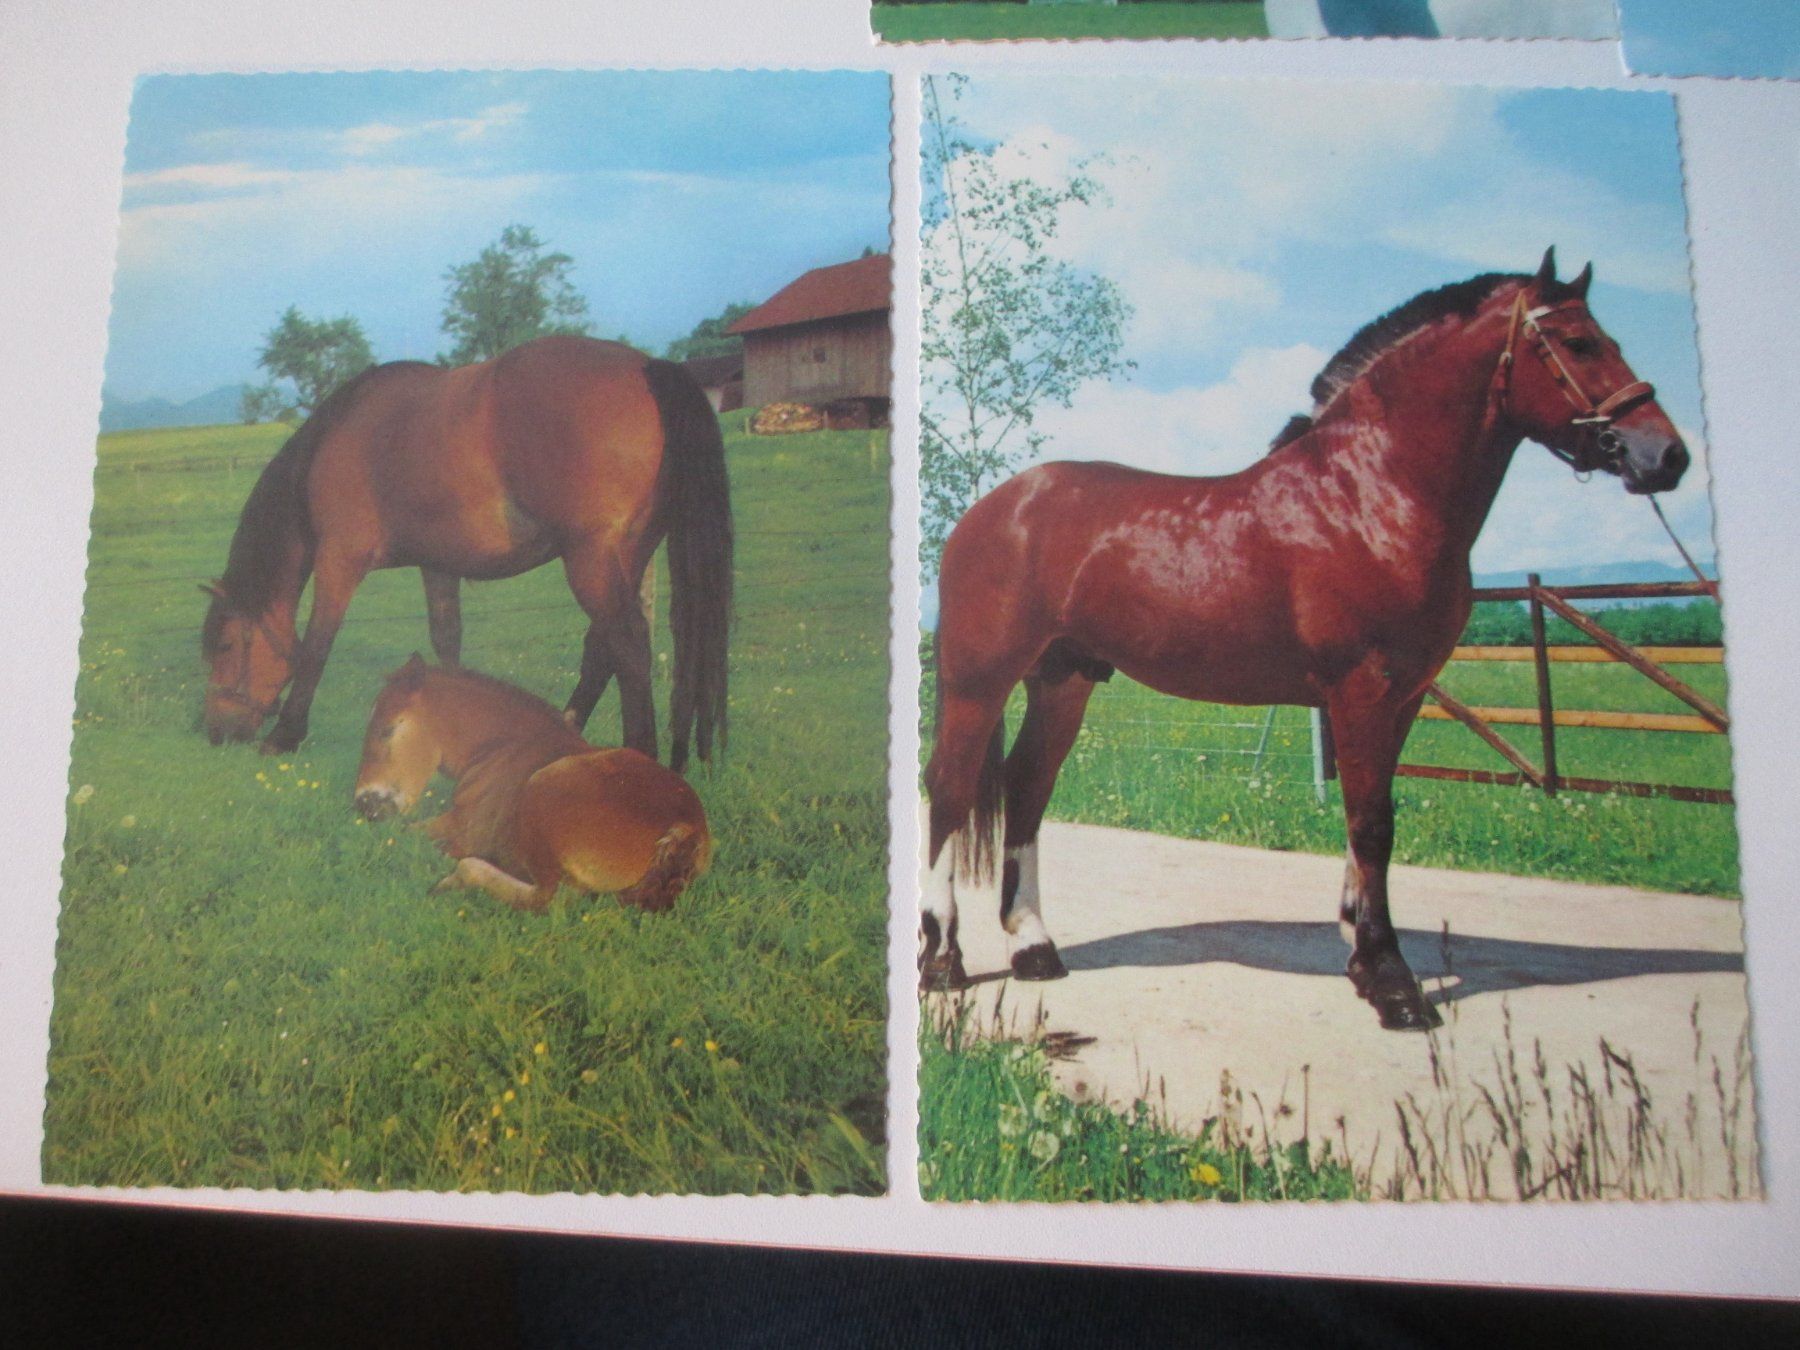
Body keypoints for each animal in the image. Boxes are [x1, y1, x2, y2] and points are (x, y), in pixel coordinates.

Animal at [200, 335, 732, 772]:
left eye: (223, 645)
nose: (214, 732)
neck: (340, 434)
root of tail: (648, 366)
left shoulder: (339, 561)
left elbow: (316, 645)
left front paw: (284, 735)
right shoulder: (437, 566)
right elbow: (447, 639)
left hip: (591, 560)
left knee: (628, 644)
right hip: (626, 556)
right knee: (602, 648)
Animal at [353, 655, 712, 913]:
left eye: (387, 730)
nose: (364, 804)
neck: (503, 746)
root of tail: (686, 827)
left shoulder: (463, 828)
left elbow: (403, 835)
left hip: (541, 796)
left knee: (547, 898)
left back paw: (456, 878)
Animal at [921, 249, 1689, 1031]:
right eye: (1577, 343)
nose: (1666, 455)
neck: (1369, 494)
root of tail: (991, 509)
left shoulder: (1404, 696)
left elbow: (1368, 818)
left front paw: (1360, 950)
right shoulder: (1362, 689)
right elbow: (1372, 822)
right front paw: (1393, 983)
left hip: (1063, 679)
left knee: (1027, 787)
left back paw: (1034, 948)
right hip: (980, 678)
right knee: (949, 789)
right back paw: (942, 963)